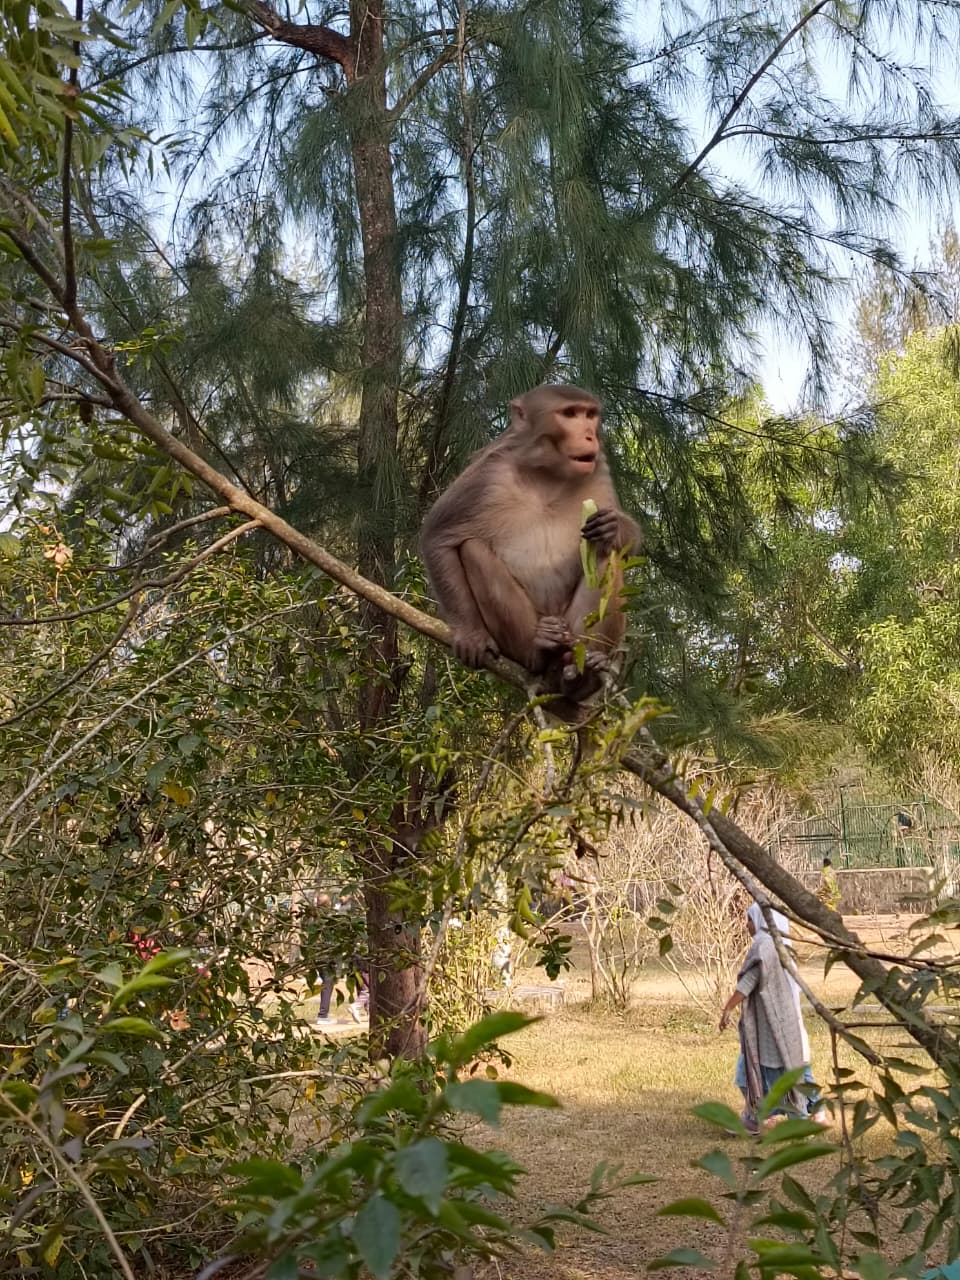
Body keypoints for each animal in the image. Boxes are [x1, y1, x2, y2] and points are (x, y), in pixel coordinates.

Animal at [420, 384, 640, 710]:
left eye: (590, 415)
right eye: (569, 414)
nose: (590, 435)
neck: (545, 473)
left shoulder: (598, 468)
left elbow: (626, 545)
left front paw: (613, 527)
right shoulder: (487, 474)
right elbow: (437, 535)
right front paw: (470, 634)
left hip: (574, 634)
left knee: (605, 555)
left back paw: (582, 678)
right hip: (525, 635)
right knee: (472, 549)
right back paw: (541, 649)